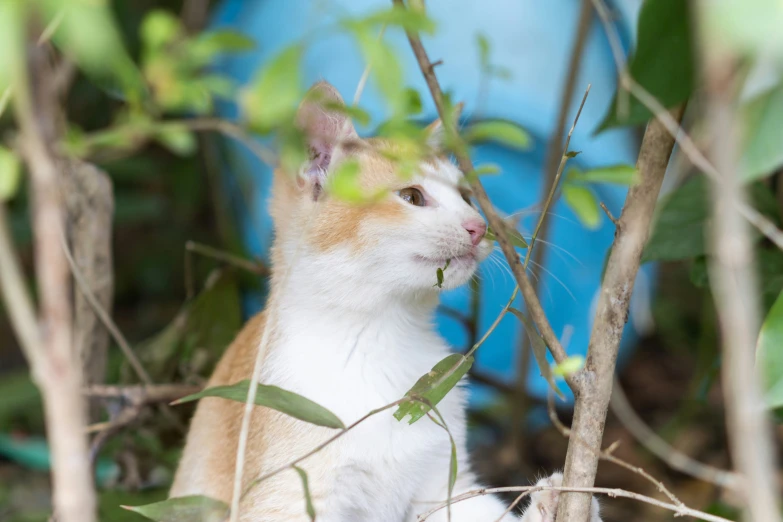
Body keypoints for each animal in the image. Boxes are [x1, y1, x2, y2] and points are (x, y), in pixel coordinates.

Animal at [168, 81, 604, 520]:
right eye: (412, 196)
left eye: (466, 196)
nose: (479, 227)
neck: (379, 337)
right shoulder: (290, 496)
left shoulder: (442, 489)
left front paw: (560, 503)